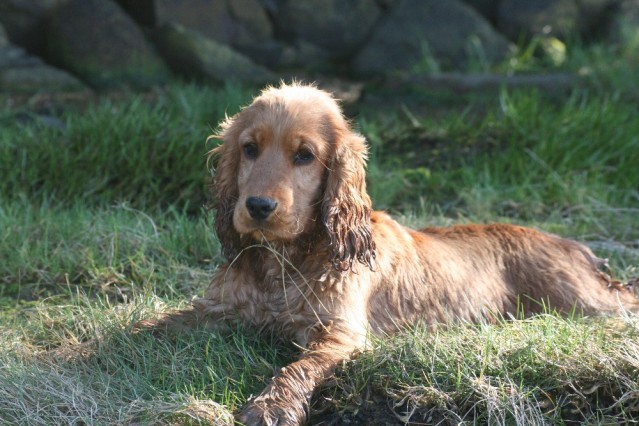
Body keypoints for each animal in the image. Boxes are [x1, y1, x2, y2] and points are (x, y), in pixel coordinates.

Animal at [140, 81, 639, 424]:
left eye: (304, 155)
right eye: (249, 149)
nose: (258, 207)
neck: (282, 262)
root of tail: (572, 244)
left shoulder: (339, 333)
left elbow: (298, 367)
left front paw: (271, 405)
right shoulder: (217, 308)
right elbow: (150, 327)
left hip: (586, 302)